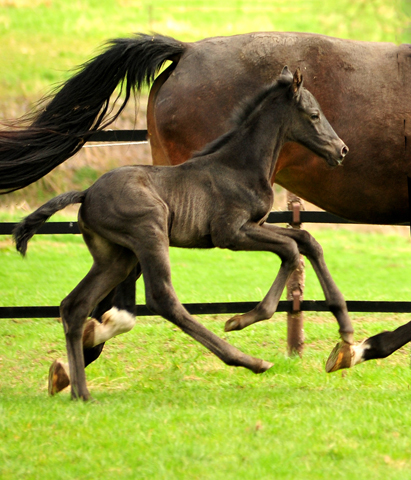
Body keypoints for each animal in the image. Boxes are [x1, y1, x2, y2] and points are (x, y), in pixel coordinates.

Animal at [14, 65, 352, 400]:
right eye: (314, 115)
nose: (342, 150)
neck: (239, 167)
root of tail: (86, 193)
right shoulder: (230, 234)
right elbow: (290, 250)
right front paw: (241, 320)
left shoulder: (254, 225)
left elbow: (306, 240)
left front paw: (345, 329)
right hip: (149, 233)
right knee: (162, 298)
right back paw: (248, 360)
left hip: (115, 257)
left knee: (74, 306)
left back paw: (81, 393)